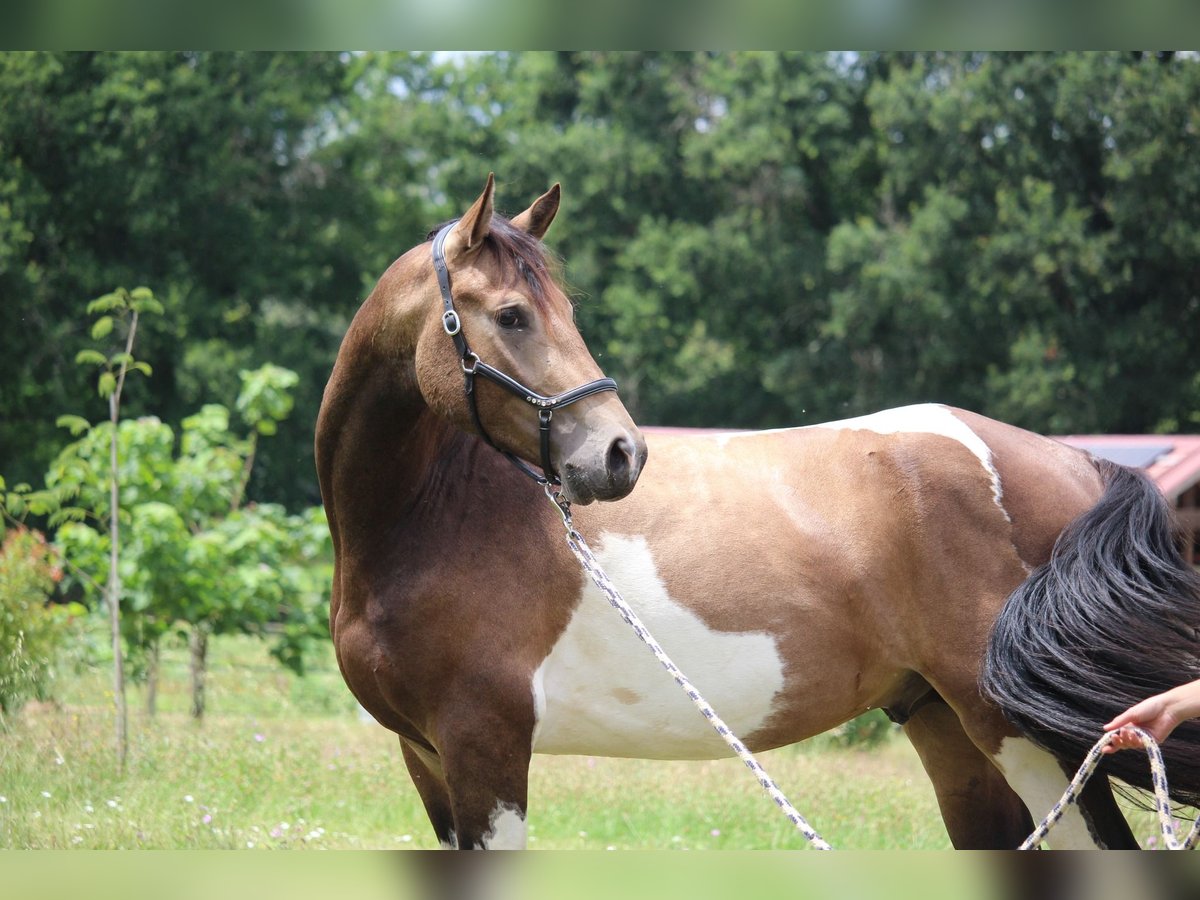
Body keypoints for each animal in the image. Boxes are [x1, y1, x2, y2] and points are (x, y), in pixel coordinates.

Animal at [314, 176, 1195, 854]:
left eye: (562, 307)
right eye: (510, 315)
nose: (620, 454)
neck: (432, 519)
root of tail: (1077, 463)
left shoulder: (485, 750)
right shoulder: (428, 758)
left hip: (1028, 737)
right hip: (948, 730)